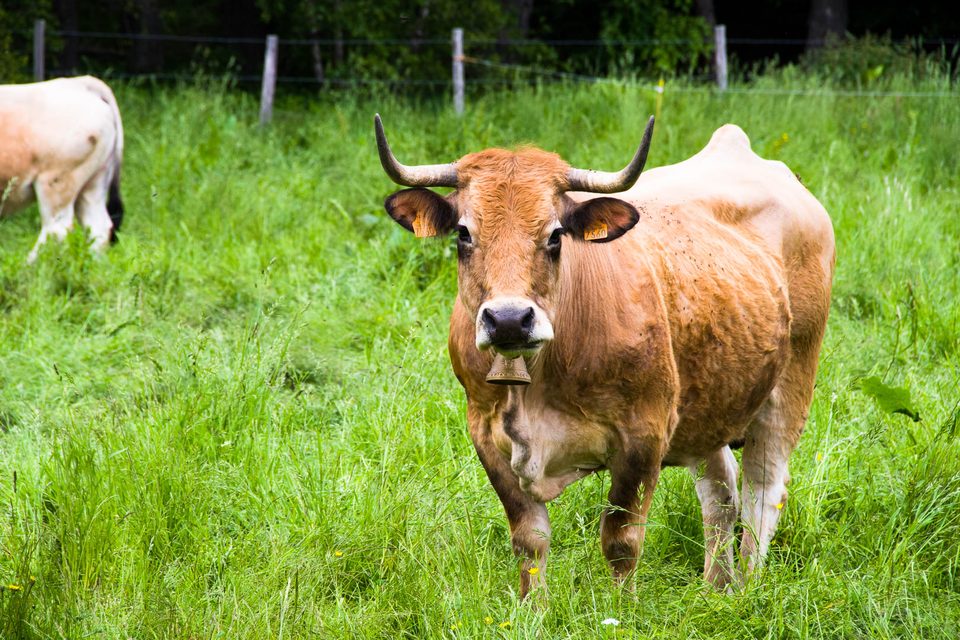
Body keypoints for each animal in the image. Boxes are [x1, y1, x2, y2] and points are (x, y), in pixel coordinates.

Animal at [374, 113, 834, 598]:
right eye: (463, 233)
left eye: (555, 234)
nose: (509, 320)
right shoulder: (485, 434)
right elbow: (529, 539)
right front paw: (531, 610)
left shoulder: (643, 437)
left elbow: (621, 540)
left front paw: (620, 607)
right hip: (711, 401)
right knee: (720, 493)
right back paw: (717, 588)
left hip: (790, 387)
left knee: (762, 493)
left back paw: (746, 587)